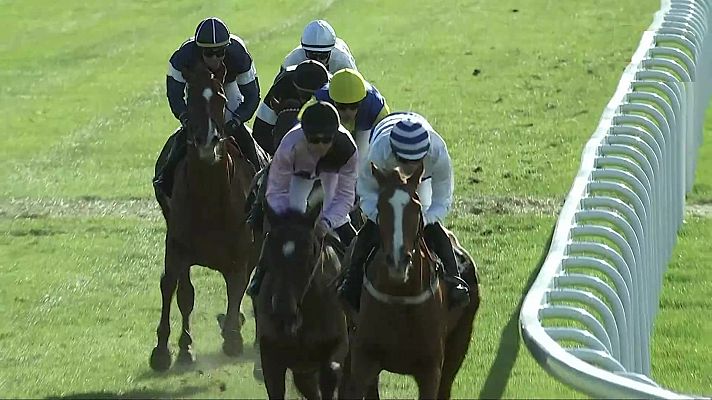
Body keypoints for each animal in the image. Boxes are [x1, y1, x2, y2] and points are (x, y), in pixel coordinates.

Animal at [147, 60, 268, 372]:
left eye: (221, 99)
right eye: (190, 99)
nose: (207, 141)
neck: (209, 198)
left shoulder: (242, 251)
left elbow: (237, 288)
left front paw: (233, 337)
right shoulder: (177, 246)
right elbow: (176, 290)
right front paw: (168, 350)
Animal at [342, 163, 482, 400]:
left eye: (416, 208)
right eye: (381, 206)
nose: (398, 262)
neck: (400, 296)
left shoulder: (430, 369)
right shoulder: (363, 360)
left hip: (460, 341)